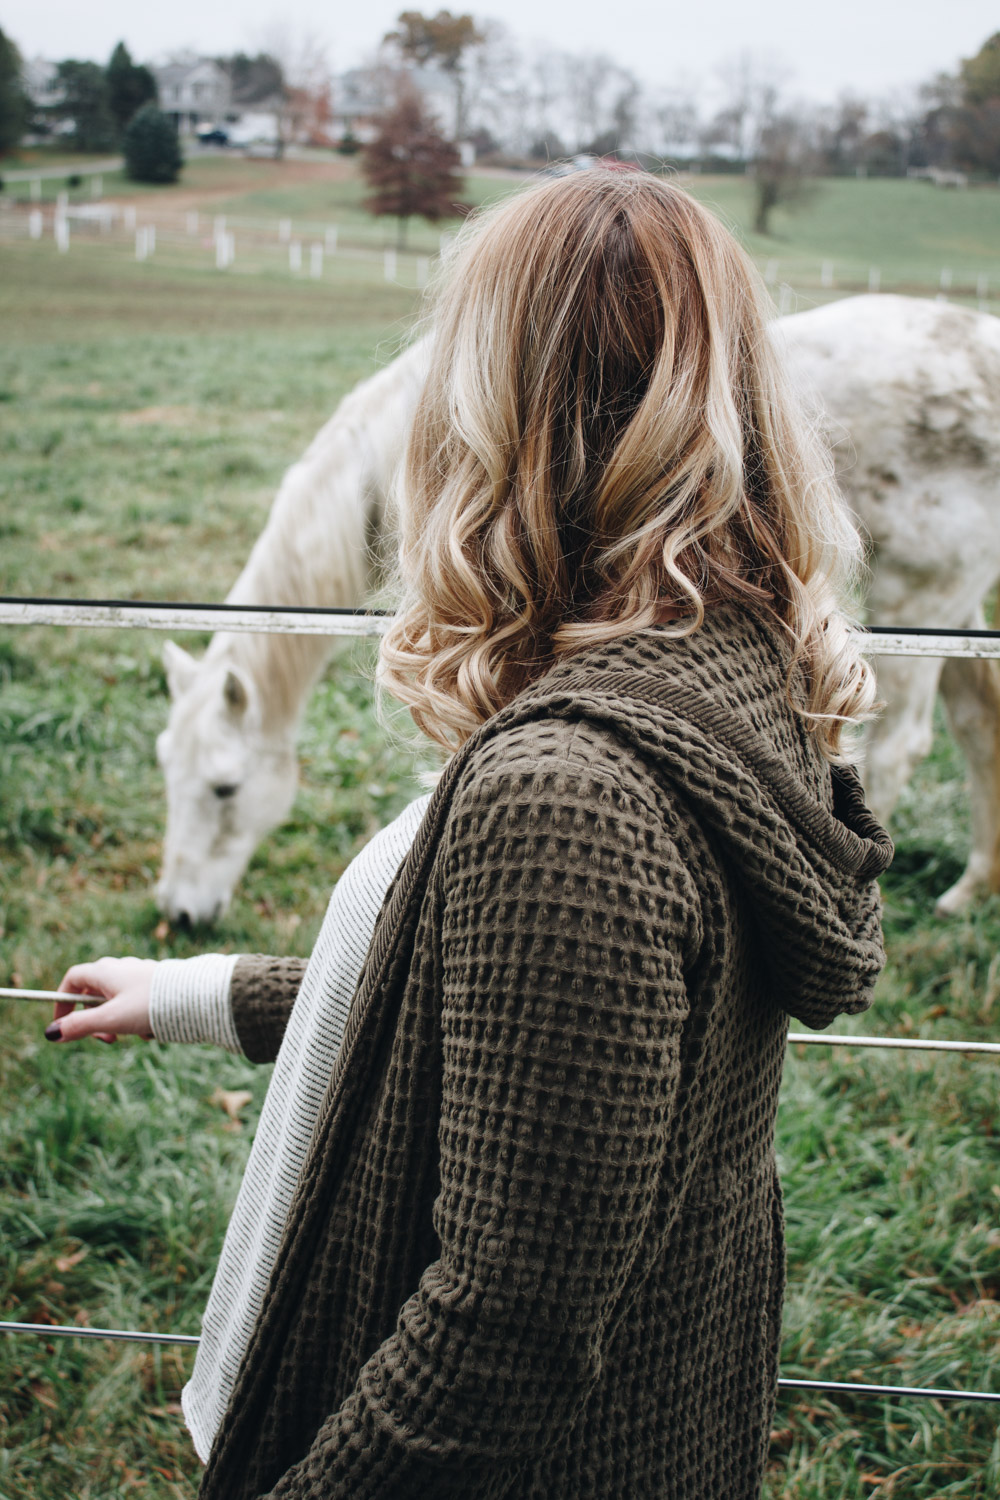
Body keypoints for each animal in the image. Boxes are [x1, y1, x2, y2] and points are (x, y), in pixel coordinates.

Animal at [154, 295, 1000, 924]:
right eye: (168, 770)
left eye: (225, 790)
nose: (180, 914)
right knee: (977, 722)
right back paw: (970, 891)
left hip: (922, 590)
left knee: (902, 747)